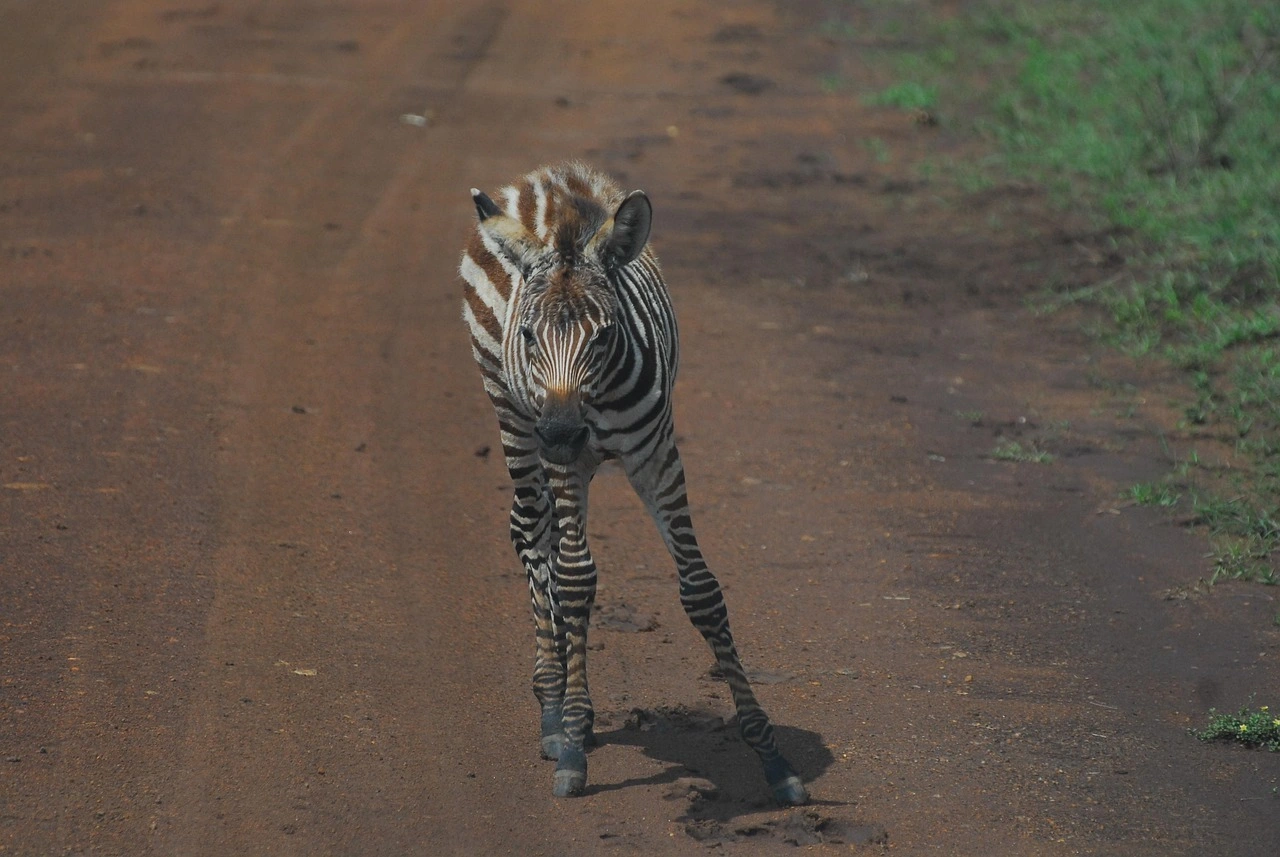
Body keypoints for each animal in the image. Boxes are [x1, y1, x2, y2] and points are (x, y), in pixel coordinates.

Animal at [459, 162, 807, 805]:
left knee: (548, 542)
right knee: (531, 533)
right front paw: (571, 746)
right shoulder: (563, 458)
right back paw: (553, 708)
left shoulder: (658, 456)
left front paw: (772, 756)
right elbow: (575, 582)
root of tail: (544, 174)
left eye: (604, 334)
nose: (561, 432)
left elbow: (701, 591)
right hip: (511, 415)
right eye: (528, 336)